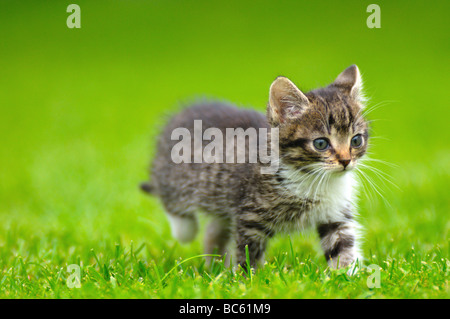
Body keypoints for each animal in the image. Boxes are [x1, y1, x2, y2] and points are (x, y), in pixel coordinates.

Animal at [142, 65, 370, 272]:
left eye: (356, 140)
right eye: (321, 143)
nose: (346, 161)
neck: (311, 176)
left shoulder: (336, 214)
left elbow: (343, 246)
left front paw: (347, 277)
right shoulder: (251, 216)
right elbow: (248, 252)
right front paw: (247, 279)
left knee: (215, 229)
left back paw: (215, 266)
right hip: (175, 177)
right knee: (172, 202)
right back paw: (185, 231)